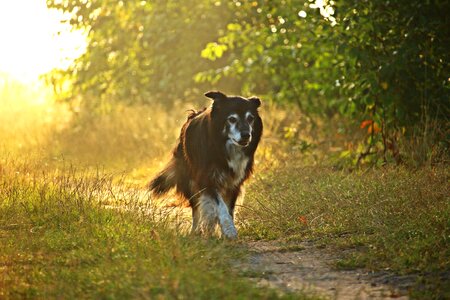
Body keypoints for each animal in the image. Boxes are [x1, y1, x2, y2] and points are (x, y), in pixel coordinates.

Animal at [150, 90, 264, 238]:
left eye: (250, 118)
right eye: (232, 119)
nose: (246, 135)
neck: (223, 147)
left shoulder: (234, 183)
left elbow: (228, 208)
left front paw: (224, 230)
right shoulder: (207, 179)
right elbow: (220, 206)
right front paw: (229, 229)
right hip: (190, 181)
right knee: (196, 208)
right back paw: (197, 230)